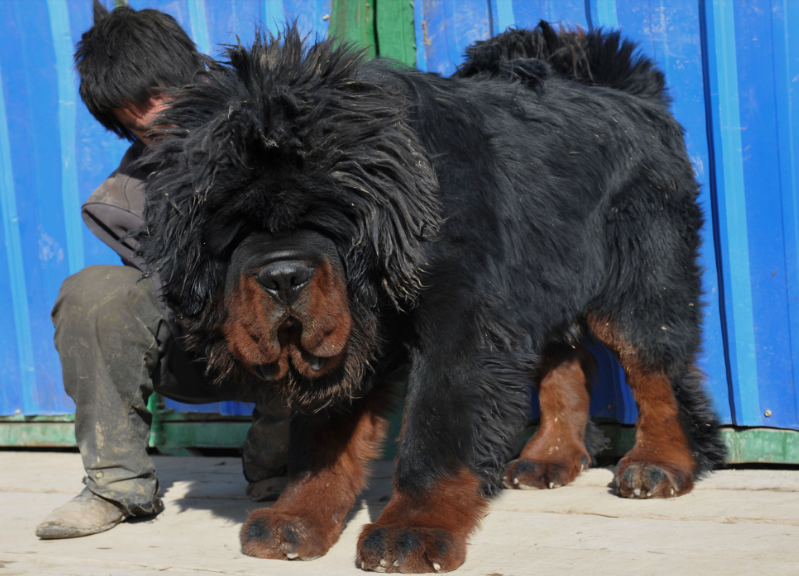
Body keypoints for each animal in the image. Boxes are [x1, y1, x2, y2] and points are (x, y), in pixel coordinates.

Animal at [138, 21, 724, 572]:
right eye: (235, 229)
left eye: (326, 221)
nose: (284, 276)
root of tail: (631, 95)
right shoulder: (350, 337)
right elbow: (322, 437)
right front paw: (297, 515)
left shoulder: (458, 327)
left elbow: (434, 434)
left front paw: (412, 530)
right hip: (540, 282)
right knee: (568, 365)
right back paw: (550, 456)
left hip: (639, 284)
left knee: (657, 372)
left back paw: (659, 463)